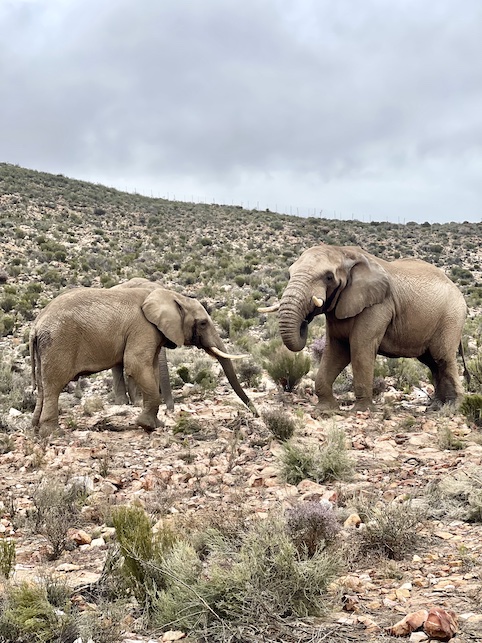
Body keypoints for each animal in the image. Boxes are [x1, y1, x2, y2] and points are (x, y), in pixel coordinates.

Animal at [262, 244, 468, 416]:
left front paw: (361, 410)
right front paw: (325, 409)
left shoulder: (378, 306)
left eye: (328, 277)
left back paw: (454, 408)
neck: (344, 253)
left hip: (451, 317)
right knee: (433, 363)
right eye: (290, 274)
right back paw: (435, 407)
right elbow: (337, 350)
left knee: (443, 358)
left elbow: (360, 348)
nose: (305, 321)